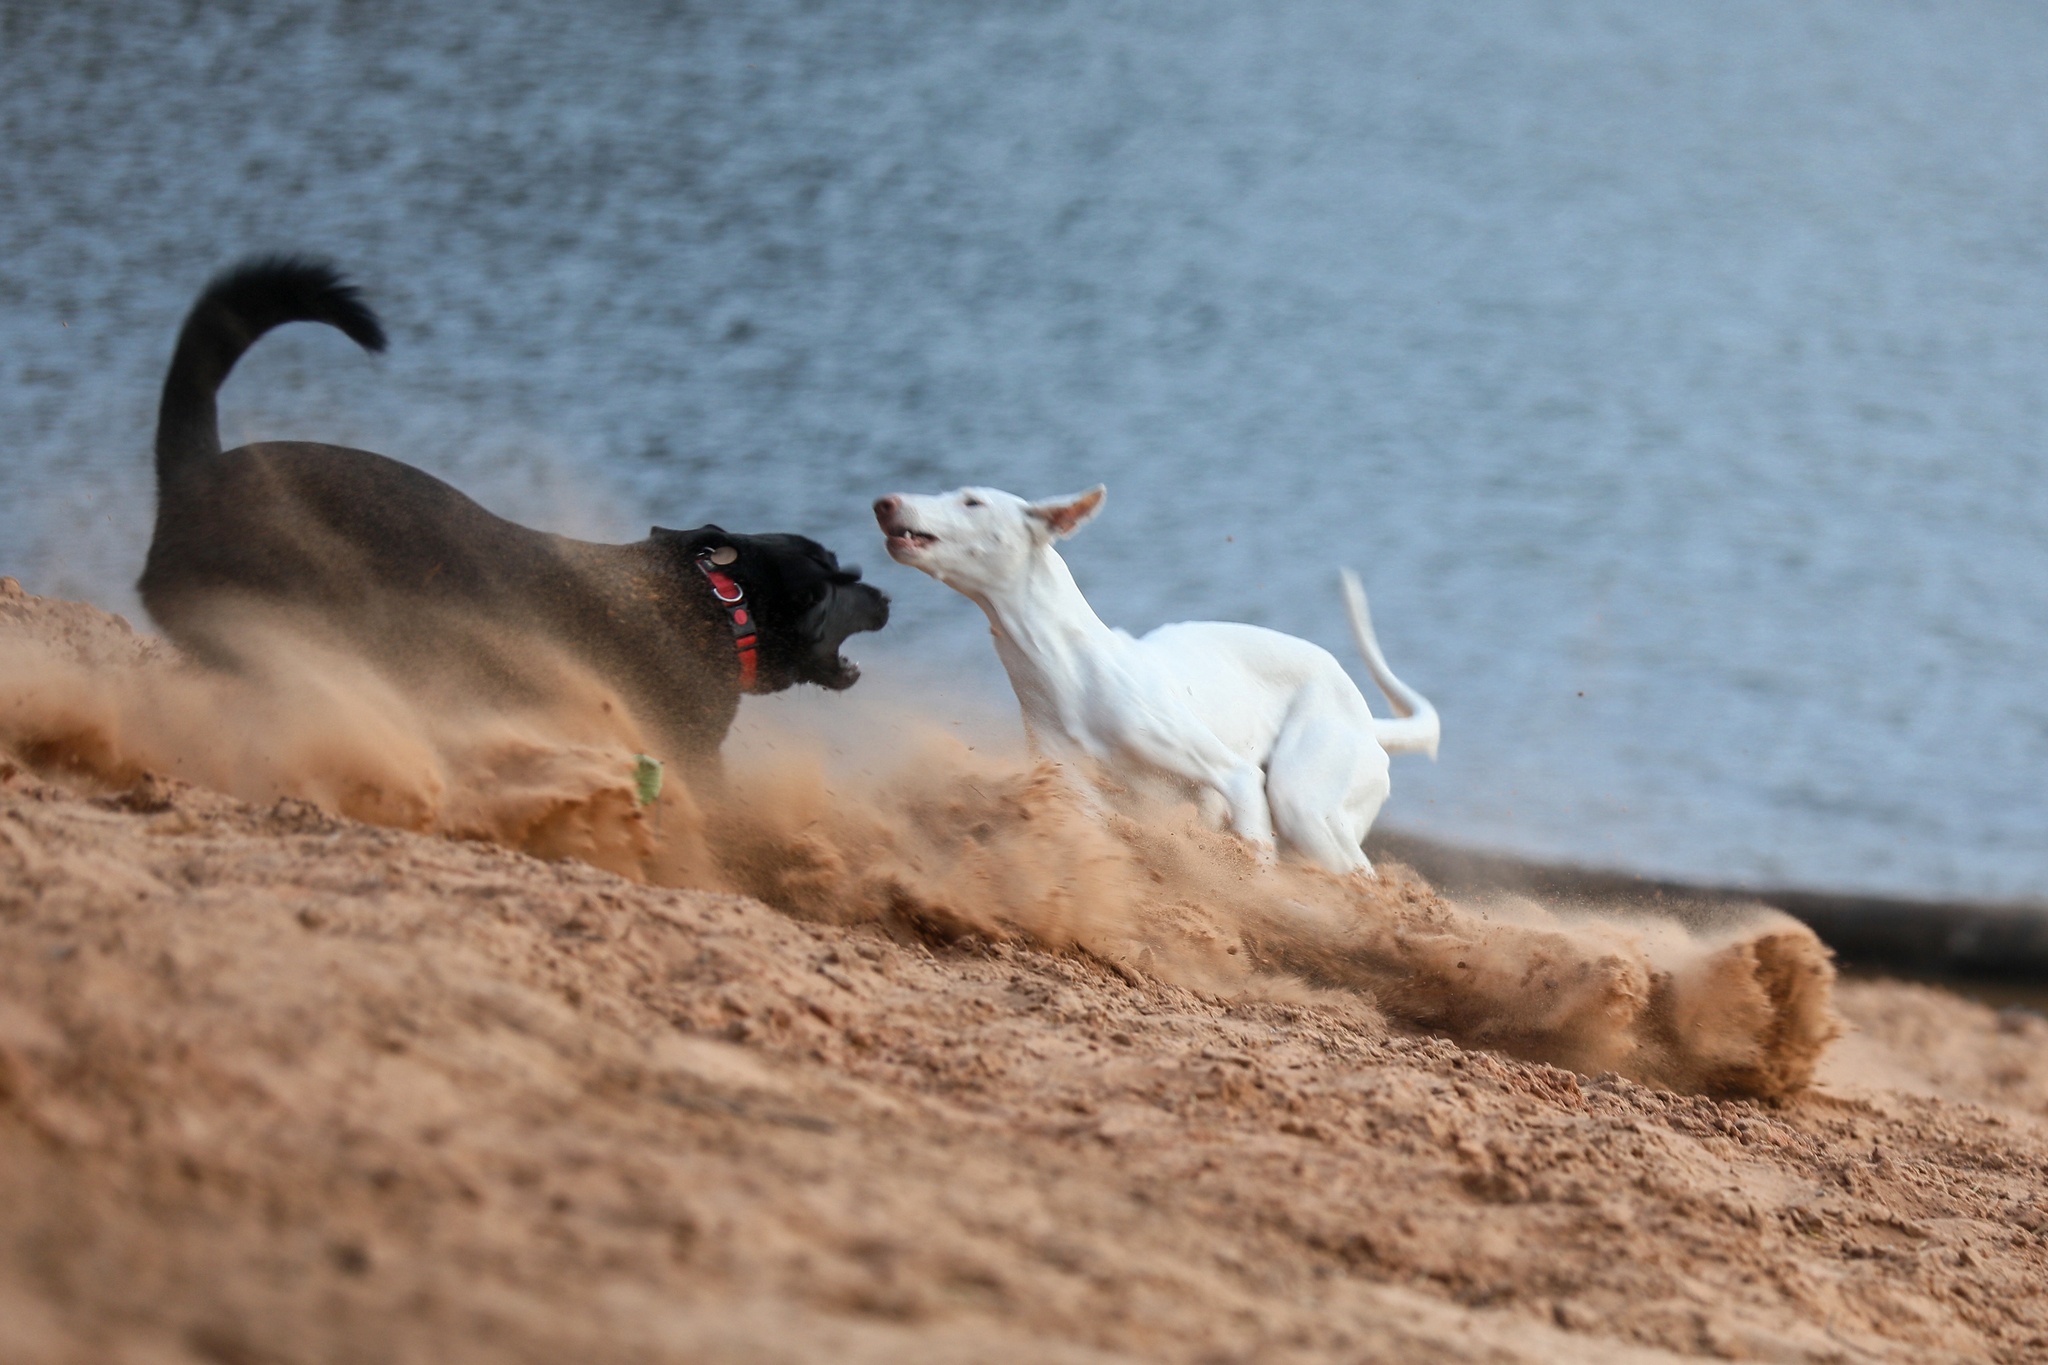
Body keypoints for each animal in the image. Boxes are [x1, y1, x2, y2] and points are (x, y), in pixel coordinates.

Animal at [876, 485, 1441, 875]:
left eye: (972, 501)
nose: (885, 502)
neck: (1069, 671)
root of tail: (1366, 719)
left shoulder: (1237, 780)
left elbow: (1254, 861)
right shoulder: (1080, 798)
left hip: (1301, 801)